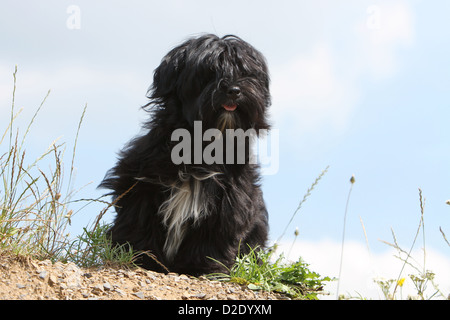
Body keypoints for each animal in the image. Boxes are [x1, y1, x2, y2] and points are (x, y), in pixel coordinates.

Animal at [100, 34, 270, 276]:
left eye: (245, 72)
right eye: (210, 71)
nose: (234, 89)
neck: (201, 145)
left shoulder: (229, 201)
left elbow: (213, 236)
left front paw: (203, 267)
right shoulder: (140, 184)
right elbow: (139, 222)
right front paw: (141, 258)